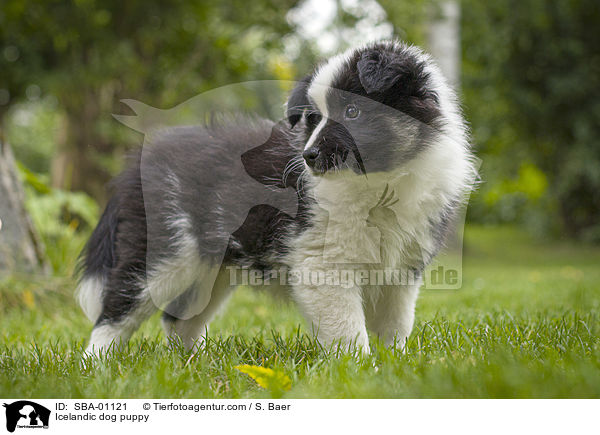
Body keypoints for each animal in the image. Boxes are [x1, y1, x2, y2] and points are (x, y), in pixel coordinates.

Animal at [77, 40, 476, 354]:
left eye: (353, 111)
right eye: (313, 118)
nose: (309, 157)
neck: (380, 184)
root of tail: (135, 168)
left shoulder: (403, 266)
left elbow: (395, 324)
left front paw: (395, 363)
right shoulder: (321, 263)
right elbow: (348, 330)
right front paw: (360, 370)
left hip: (212, 266)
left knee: (179, 319)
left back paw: (193, 364)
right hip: (164, 250)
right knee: (116, 312)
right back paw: (97, 365)